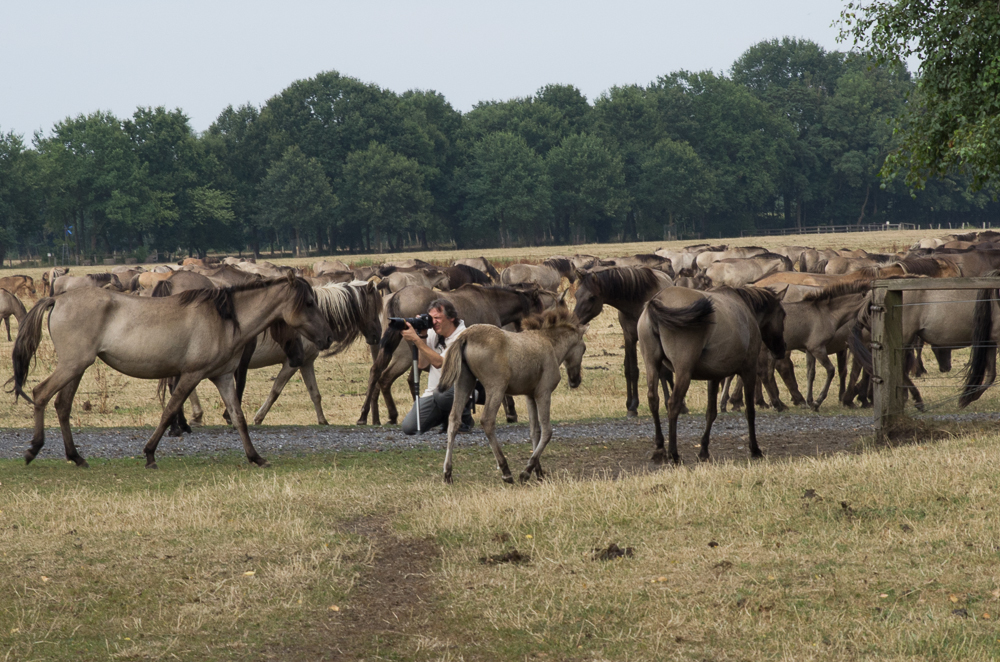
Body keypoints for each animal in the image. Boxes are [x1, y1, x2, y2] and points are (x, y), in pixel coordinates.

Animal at [8, 274, 336, 472]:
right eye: (309, 303)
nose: (327, 338)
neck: (224, 319)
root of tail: (58, 298)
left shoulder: (223, 377)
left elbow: (239, 417)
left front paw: (255, 457)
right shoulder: (192, 374)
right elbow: (170, 411)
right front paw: (150, 454)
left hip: (76, 368)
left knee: (62, 405)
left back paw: (76, 457)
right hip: (72, 366)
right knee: (40, 394)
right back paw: (34, 449)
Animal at [436, 308, 584, 486]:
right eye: (584, 348)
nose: (575, 380)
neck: (550, 344)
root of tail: (465, 336)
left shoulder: (530, 396)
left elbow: (534, 431)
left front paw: (538, 471)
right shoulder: (544, 393)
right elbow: (547, 431)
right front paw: (526, 472)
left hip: (464, 382)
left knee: (454, 420)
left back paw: (447, 473)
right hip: (496, 387)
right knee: (487, 420)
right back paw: (506, 471)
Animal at [572, 268, 672, 418]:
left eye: (592, 297)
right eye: (576, 295)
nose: (574, 322)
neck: (637, 303)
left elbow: (663, 372)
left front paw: (669, 402)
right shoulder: (629, 338)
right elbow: (632, 371)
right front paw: (633, 406)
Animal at [640, 286, 788, 466]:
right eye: (782, 314)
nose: (781, 349)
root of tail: (658, 300)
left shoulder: (714, 376)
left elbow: (711, 413)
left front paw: (703, 451)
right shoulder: (749, 371)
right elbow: (750, 412)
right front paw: (755, 449)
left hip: (652, 364)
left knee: (653, 400)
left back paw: (660, 448)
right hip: (683, 372)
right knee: (673, 404)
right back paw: (673, 454)